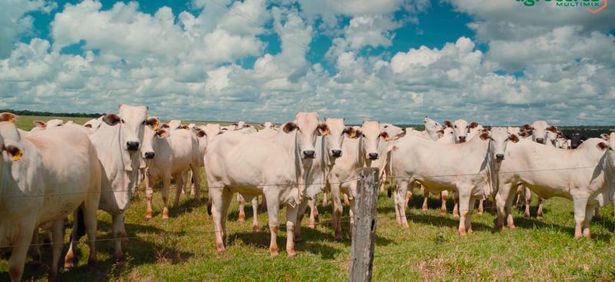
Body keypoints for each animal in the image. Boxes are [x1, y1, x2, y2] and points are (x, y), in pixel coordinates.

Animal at [0, 113, 101, 280]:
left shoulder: (25, 228)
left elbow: (15, 268)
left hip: (91, 197)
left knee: (91, 226)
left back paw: (92, 260)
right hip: (59, 208)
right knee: (58, 242)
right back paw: (54, 271)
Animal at [205, 112, 324, 256]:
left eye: (316, 128)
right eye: (298, 128)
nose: (309, 153)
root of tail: (212, 143)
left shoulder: (294, 197)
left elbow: (291, 224)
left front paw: (291, 250)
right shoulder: (272, 194)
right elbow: (274, 224)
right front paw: (273, 250)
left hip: (227, 189)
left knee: (223, 212)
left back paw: (223, 237)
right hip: (216, 185)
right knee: (216, 213)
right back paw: (220, 246)